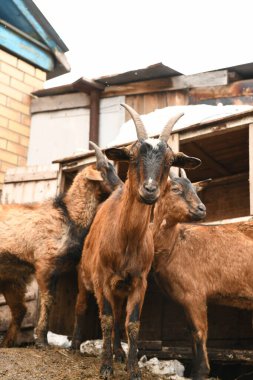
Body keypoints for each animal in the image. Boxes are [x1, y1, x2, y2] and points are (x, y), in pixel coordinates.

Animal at [0, 142, 121, 348]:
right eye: (106, 169)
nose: (123, 187)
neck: (69, 215)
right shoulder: (44, 263)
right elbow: (48, 300)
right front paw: (41, 340)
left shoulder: (57, 269)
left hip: (11, 276)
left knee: (19, 309)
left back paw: (7, 342)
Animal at [72, 104, 202, 380]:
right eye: (132, 155)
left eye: (170, 160)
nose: (149, 190)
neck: (126, 240)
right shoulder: (102, 279)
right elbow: (106, 319)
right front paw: (105, 367)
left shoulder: (139, 282)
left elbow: (131, 323)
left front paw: (132, 368)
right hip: (84, 277)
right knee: (81, 306)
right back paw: (76, 345)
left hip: (121, 288)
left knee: (119, 315)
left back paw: (119, 353)